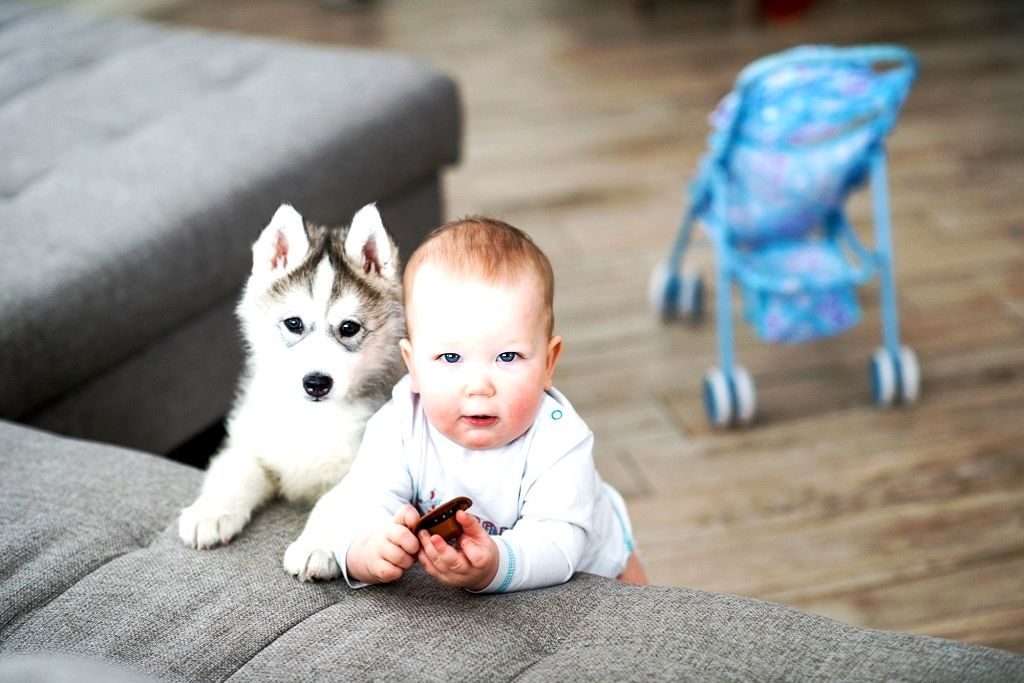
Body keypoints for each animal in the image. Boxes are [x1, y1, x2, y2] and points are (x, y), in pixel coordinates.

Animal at [180, 200, 403, 581]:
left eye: (349, 328)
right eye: (293, 324)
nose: (316, 382)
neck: (311, 418)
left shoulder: (371, 468)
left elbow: (333, 501)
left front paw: (317, 547)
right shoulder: (252, 442)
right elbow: (233, 471)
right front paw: (208, 513)